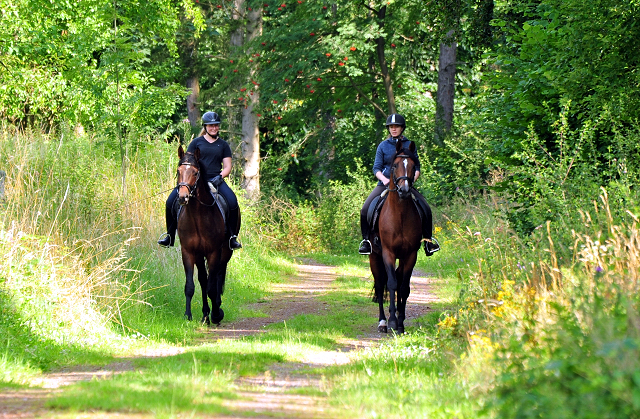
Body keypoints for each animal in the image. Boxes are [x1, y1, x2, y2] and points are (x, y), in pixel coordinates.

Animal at [174, 146, 239, 326]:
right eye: (178, 171)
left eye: (195, 172)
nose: (182, 197)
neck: (197, 216)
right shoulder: (189, 251)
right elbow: (191, 285)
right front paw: (188, 316)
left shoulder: (214, 252)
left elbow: (212, 286)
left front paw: (216, 314)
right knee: (204, 279)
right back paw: (205, 315)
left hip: (225, 252)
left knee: (217, 277)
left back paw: (216, 310)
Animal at [368, 141, 422, 334]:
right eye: (394, 166)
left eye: (413, 166)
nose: (404, 190)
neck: (400, 215)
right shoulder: (388, 253)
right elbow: (391, 284)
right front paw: (391, 322)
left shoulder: (411, 255)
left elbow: (403, 287)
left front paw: (400, 324)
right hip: (374, 256)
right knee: (380, 284)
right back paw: (382, 322)